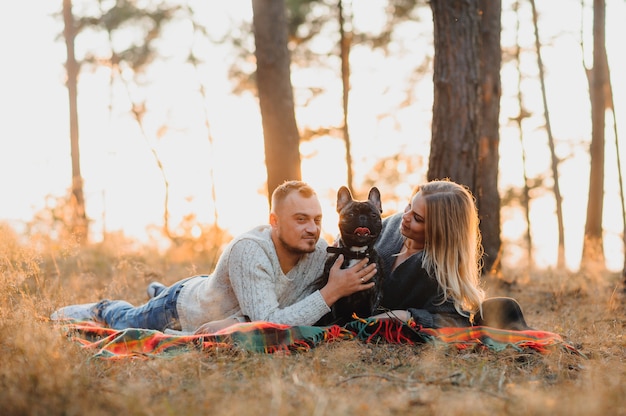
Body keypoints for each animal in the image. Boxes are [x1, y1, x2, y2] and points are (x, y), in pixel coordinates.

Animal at [310, 187, 380, 326]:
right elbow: (333, 312)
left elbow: (371, 311)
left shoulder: (374, 293)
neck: (356, 253)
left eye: (374, 215)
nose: (362, 217)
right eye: (350, 214)